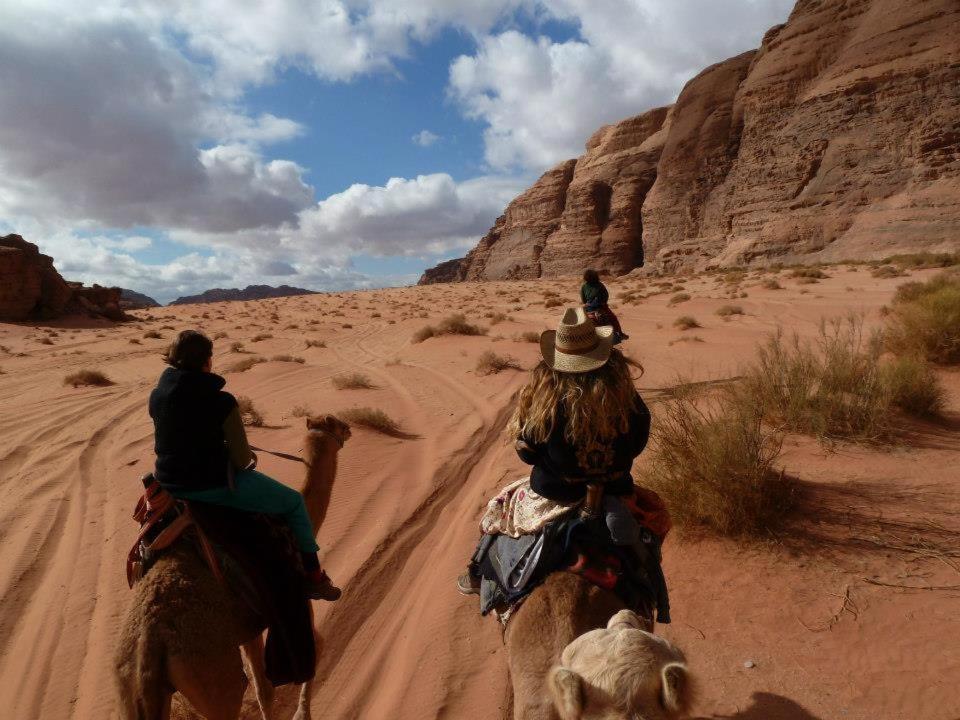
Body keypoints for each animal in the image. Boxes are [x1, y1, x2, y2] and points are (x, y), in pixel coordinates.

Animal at [114, 414, 350, 720]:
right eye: (336, 423)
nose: (349, 427)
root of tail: (147, 649)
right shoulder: (295, 600)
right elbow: (314, 646)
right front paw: (302, 713)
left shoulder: (249, 628)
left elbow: (263, 689)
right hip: (212, 677)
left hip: (130, 692)